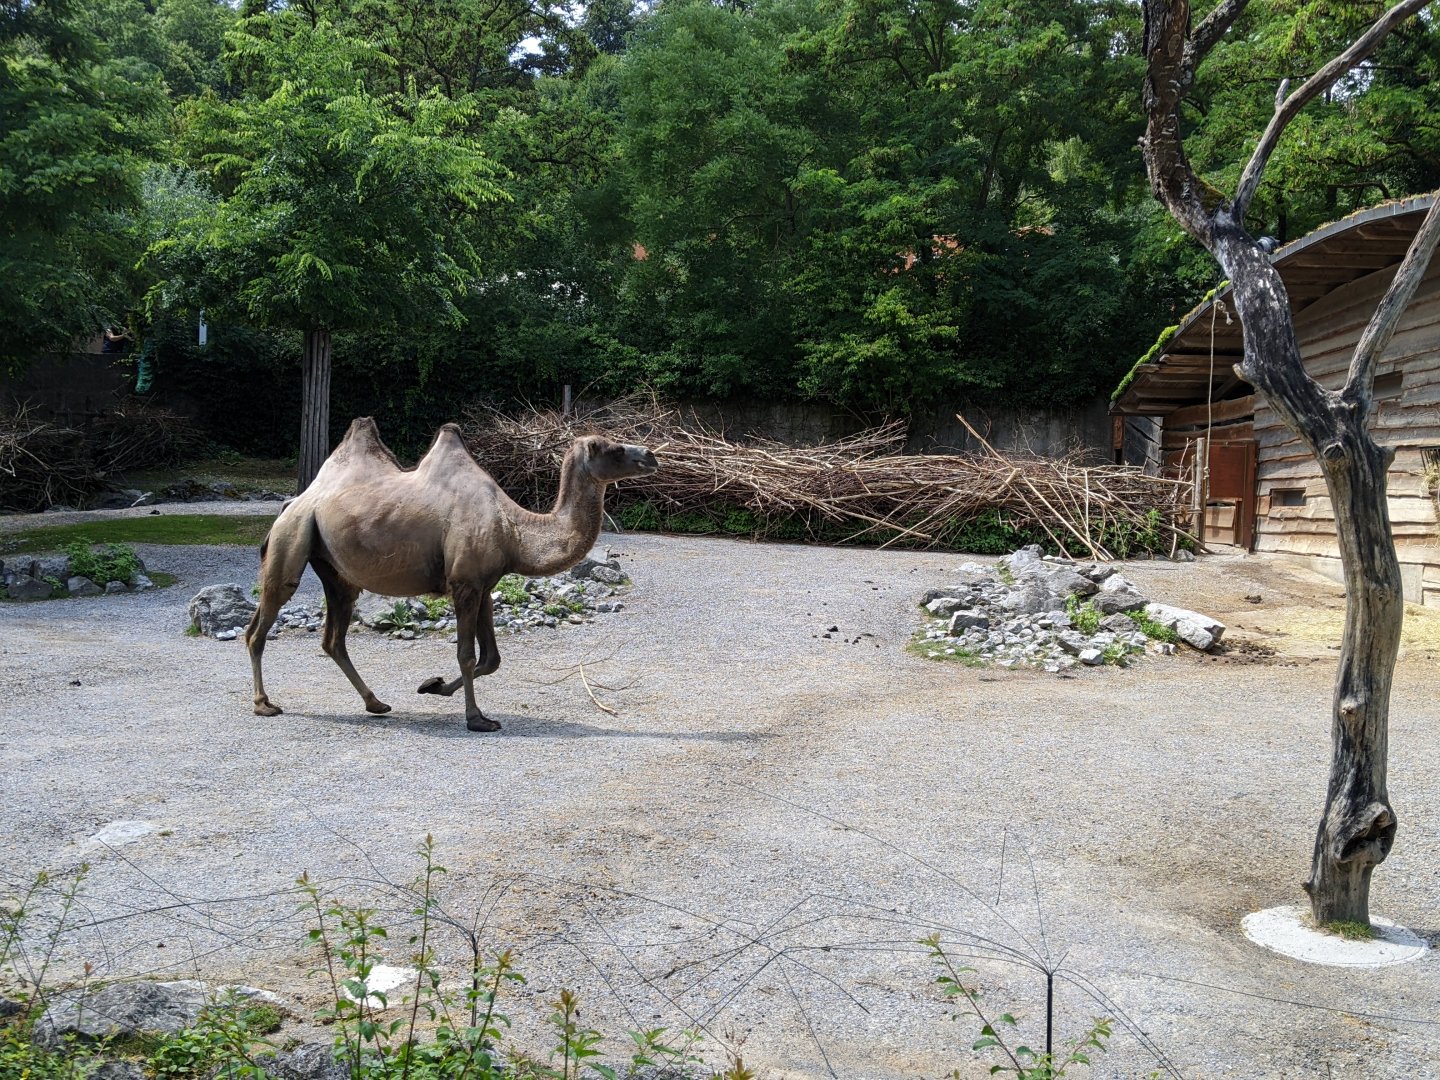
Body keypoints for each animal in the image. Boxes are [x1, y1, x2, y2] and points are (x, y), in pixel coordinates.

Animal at [244, 418, 659, 730]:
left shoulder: (484, 585)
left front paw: (432, 685)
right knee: (261, 623)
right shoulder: (464, 583)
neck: (514, 530)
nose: (651, 455)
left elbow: (491, 658)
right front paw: (477, 719)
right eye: (614, 449)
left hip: (332, 566)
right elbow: (467, 654)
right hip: (293, 536)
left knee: (333, 636)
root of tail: (291, 502)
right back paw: (264, 704)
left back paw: (376, 703)